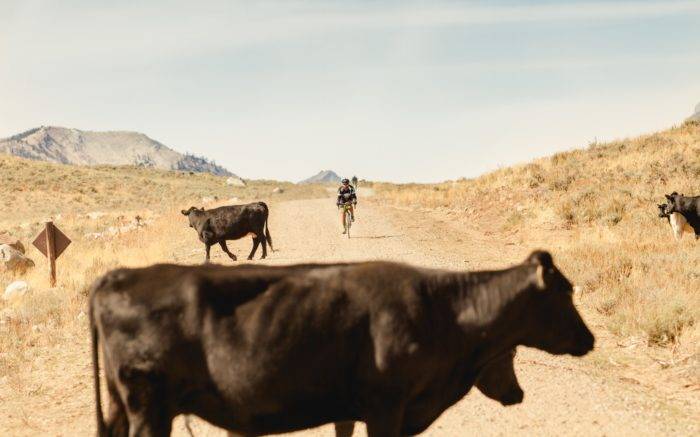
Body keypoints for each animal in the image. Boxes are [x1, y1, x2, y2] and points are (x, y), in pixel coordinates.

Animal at [86, 250, 592, 434]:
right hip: (150, 406)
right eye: (567, 292)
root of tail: (120, 275)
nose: (589, 339)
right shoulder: (386, 405)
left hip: (123, 404)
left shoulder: (351, 407)